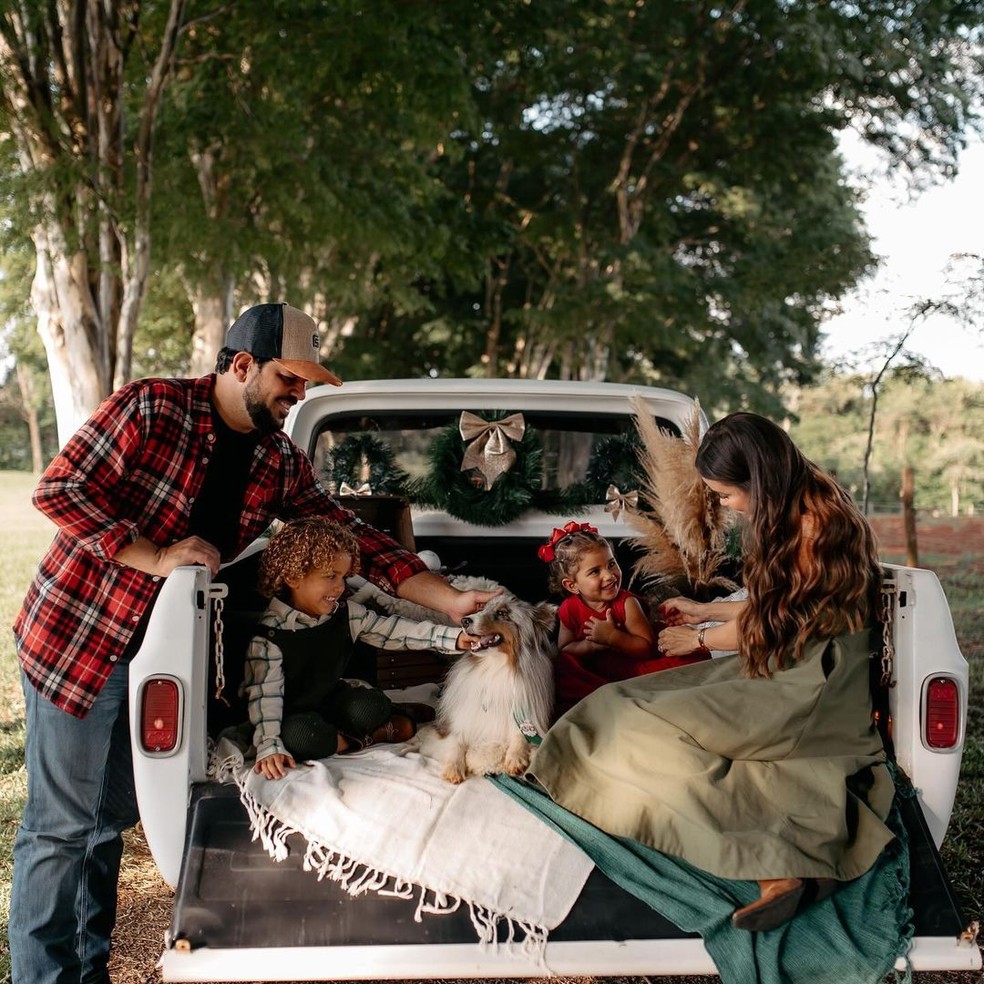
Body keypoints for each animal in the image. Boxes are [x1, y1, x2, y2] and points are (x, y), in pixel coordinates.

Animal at [418, 592, 556, 784]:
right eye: (482, 608)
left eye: (502, 613)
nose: (464, 620)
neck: (495, 665)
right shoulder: (458, 719)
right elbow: (456, 738)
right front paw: (453, 767)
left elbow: (519, 733)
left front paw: (515, 758)